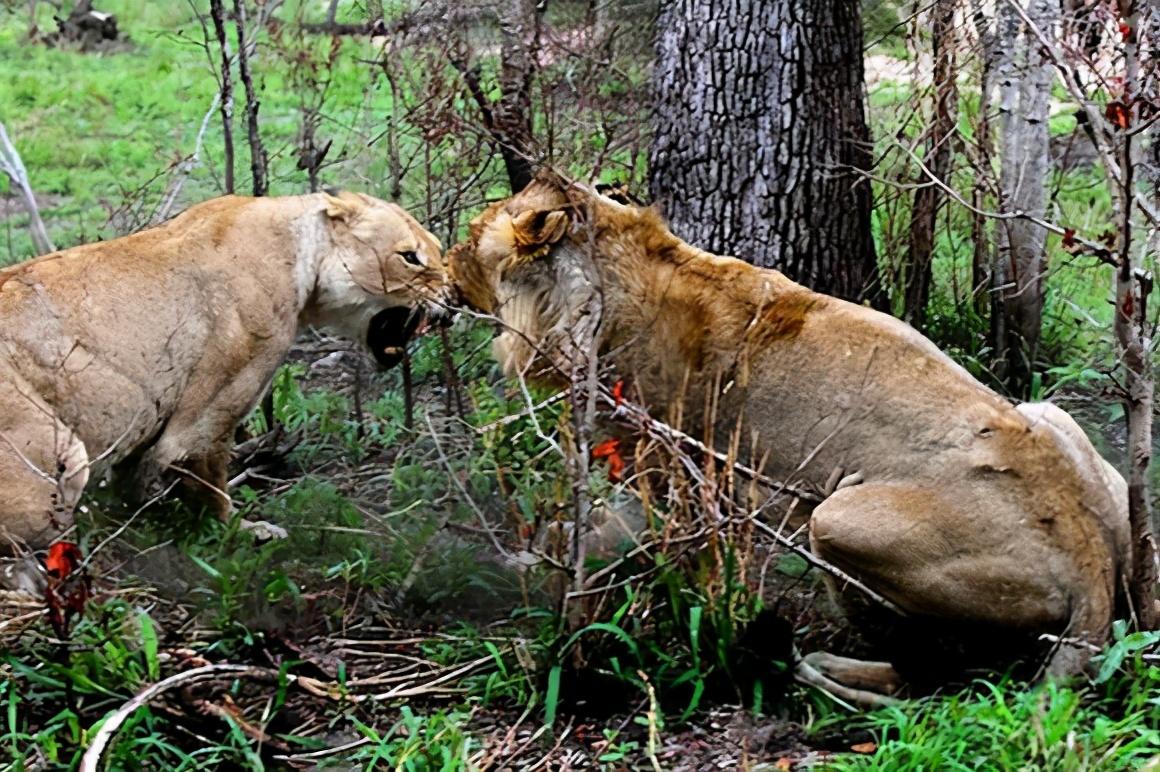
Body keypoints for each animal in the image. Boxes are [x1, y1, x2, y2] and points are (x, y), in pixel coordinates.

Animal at [0, 188, 447, 586]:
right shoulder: (212, 410)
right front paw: (245, 530)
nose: (453, 297)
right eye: (410, 257)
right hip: (63, 452)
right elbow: (210, 479)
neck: (301, 249)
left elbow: (133, 487)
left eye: (440, 251)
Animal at [450, 172, 1132, 704]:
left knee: (933, 674)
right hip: (1049, 412)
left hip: (835, 520)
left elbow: (608, 547)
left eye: (470, 241)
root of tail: (1092, 562)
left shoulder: (667, 467)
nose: (440, 262)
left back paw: (821, 667)